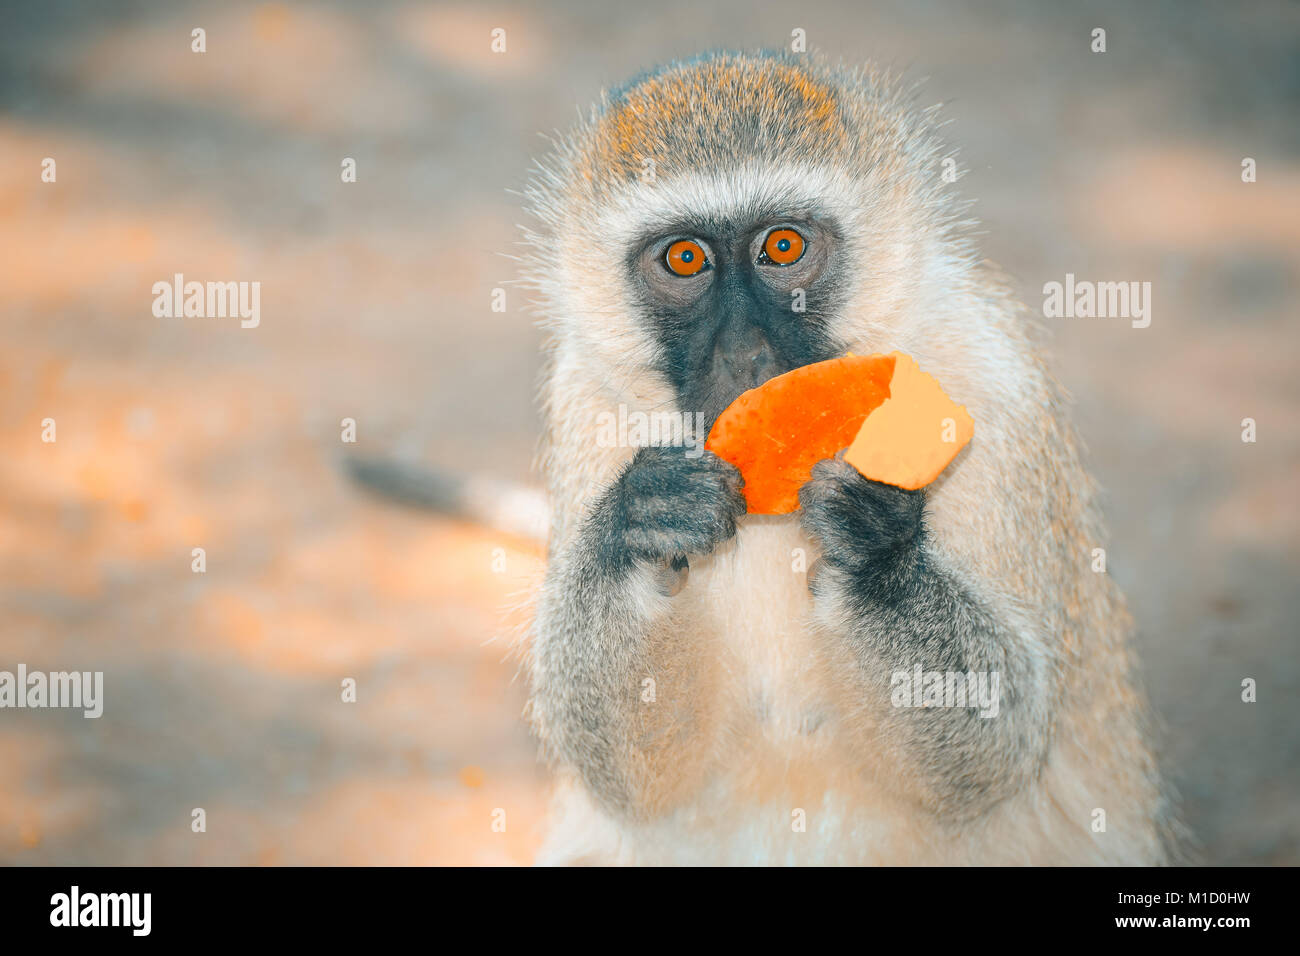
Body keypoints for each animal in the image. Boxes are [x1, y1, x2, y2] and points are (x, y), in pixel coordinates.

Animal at [514, 50, 1180, 868]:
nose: (745, 355)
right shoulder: (583, 399)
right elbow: (626, 773)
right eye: (685, 258)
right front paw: (639, 523)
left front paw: (874, 546)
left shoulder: (992, 377)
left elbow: (1006, 734)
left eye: (783, 247)